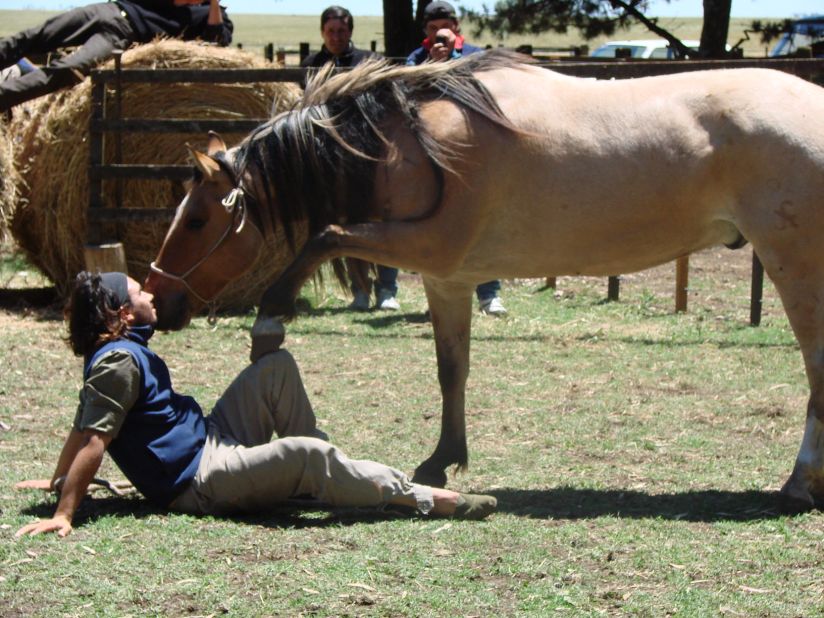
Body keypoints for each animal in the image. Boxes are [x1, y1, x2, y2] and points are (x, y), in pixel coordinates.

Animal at [145, 50, 824, 508]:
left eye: (198, 219)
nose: (158, 299)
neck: (413, 141)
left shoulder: (428, 246)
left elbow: (325, 236)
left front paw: (270, 320)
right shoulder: (448, 277)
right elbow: (453, 370)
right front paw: (442, 460)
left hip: (795, 263)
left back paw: (799, 483)